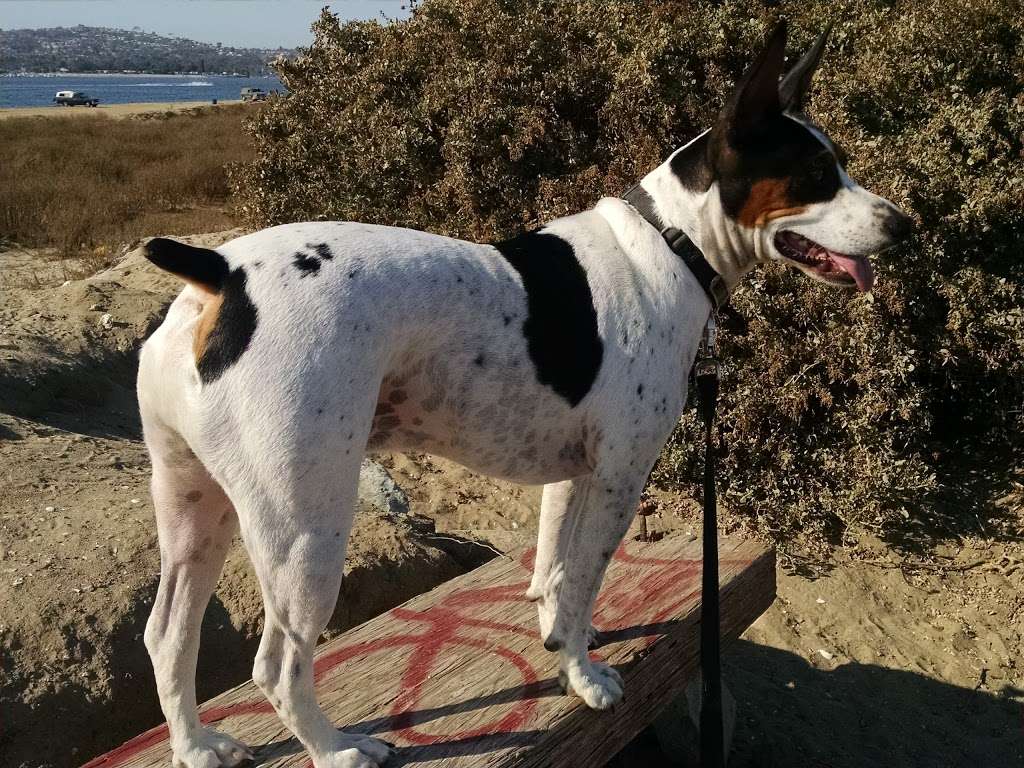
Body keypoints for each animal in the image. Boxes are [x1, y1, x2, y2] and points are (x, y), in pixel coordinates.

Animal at [136, 22, 913, 768]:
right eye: (815, 176)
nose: (905, 225)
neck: (671, 245)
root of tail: (222, 272)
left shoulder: (570, 477)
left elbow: (554, 574)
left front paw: (561, 639)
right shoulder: (618, 479)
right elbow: (582, 579)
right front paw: (585, 678)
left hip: (195, 509)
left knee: (167, 636)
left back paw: (197, 746)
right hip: (306, 531)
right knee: (276, 667)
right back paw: (337, 749)